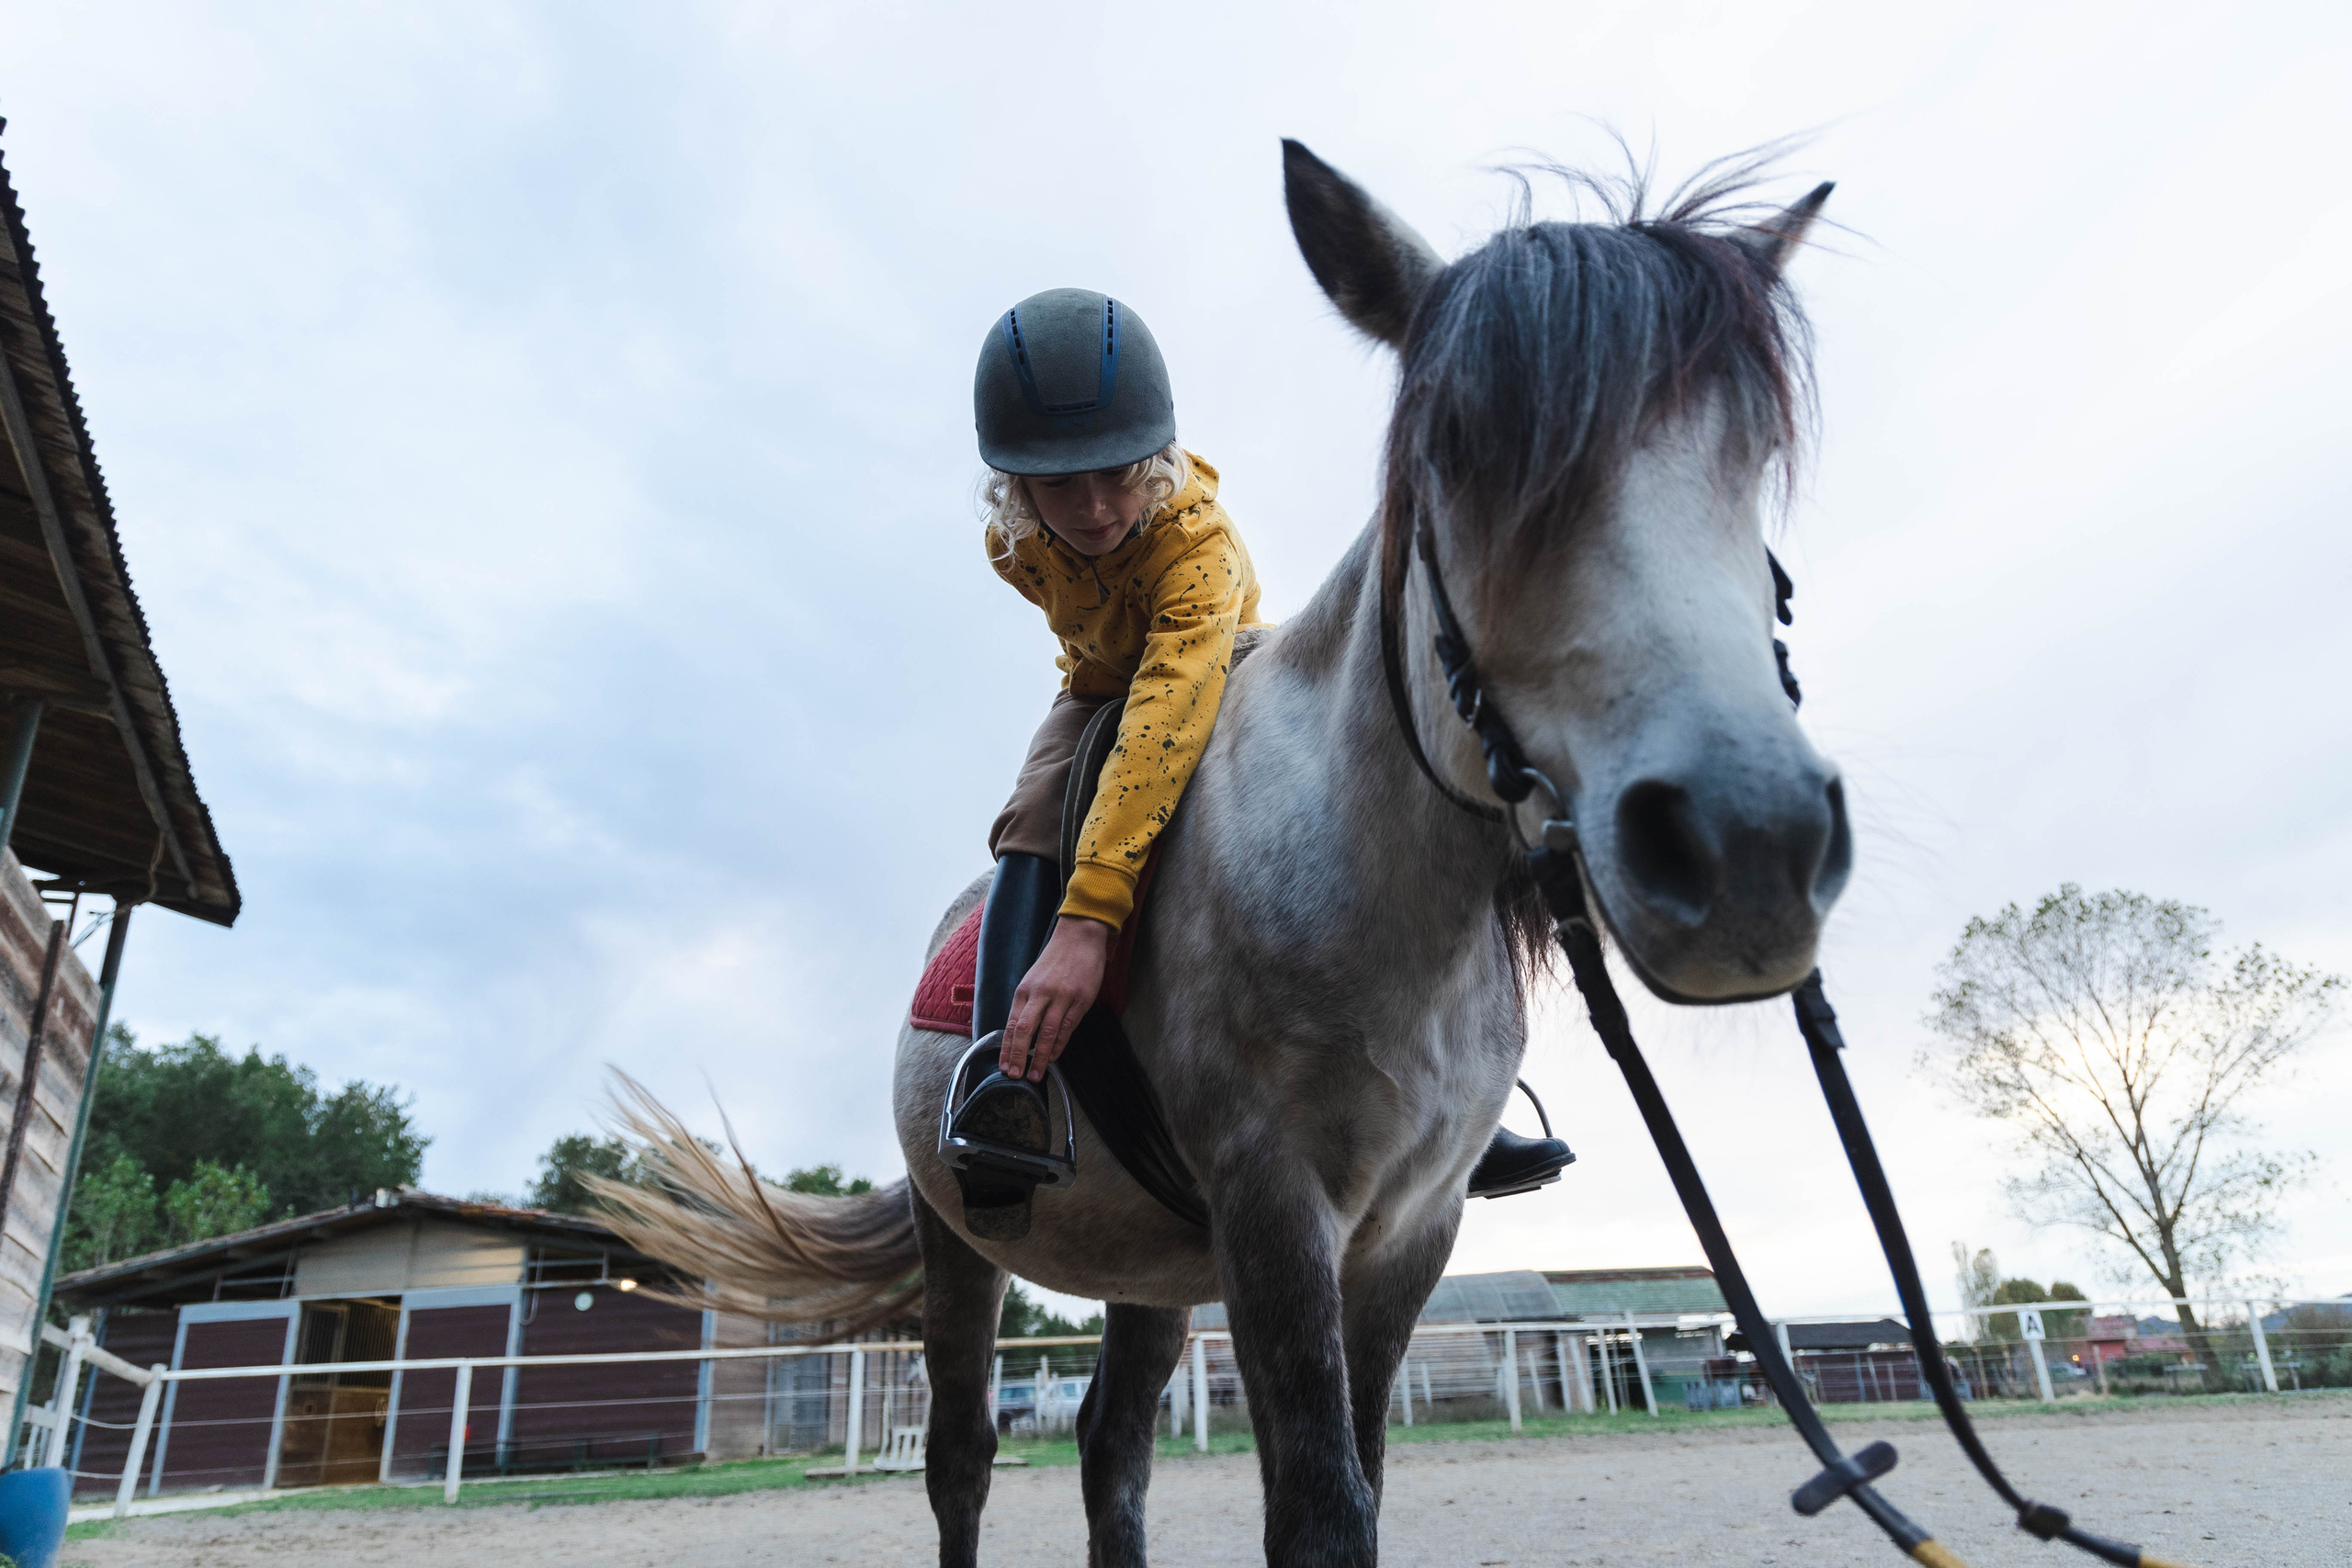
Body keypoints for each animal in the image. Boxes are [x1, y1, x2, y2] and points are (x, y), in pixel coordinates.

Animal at [600, 137, 1850, 1568]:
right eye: (1457, 454)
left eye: (1753, 454)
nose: (1749, 842)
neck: (1367, 881)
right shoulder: (1274, 1206)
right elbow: (1318, 1511)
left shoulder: (1409, 1233)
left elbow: (1353, 1479)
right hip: (961, 1236)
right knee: (963, 1453)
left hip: (1149, 1272)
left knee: (1111, 1446)